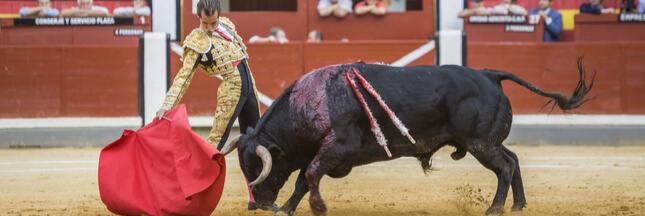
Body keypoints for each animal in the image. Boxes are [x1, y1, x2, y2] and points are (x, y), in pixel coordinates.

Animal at [221, 58, 592, 215]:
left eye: (256, 168)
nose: (260, 203)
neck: (313, 102)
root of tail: (489, 74)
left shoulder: (338, 147)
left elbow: (309, 175)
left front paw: (316, 207)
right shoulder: (322, 151)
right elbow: (302, 180)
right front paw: (286, 209)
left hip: (480, 144)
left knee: (503, 167)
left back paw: (495, 209)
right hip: (487, 142)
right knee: (513, 160)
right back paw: (518, 205)